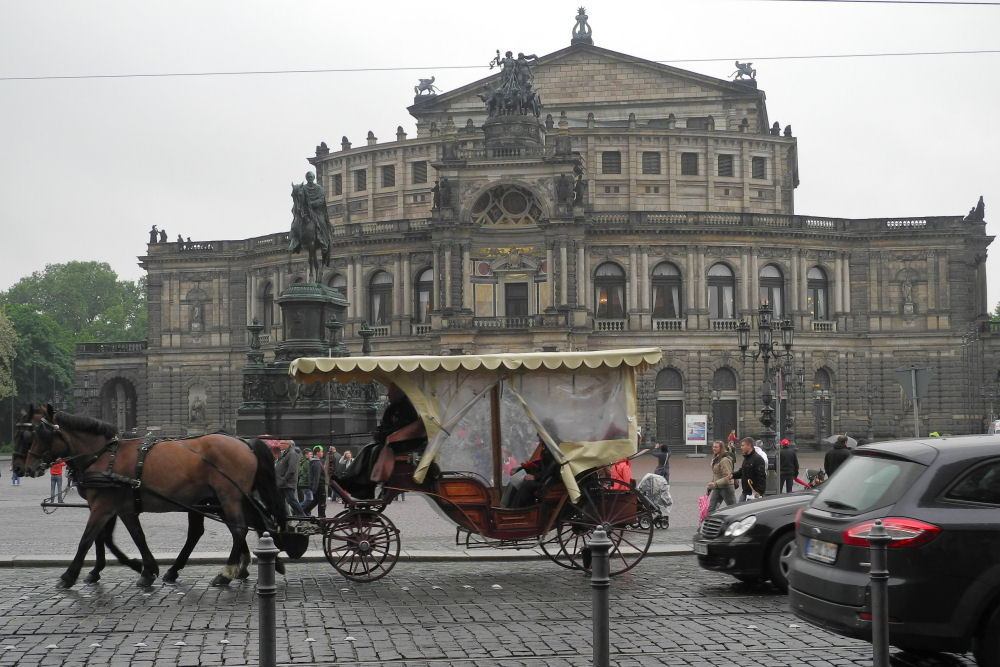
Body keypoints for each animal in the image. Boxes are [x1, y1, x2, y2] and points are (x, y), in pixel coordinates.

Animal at [15, 404, 290, 588]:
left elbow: (88, 539)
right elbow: (119, 538)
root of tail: (244, 442)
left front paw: (69, 575)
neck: (103, 455)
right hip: (226, 499)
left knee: (239, 529)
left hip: (228, 497)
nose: (23, 468)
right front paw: (141, 569)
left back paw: (227, 572)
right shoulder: (116, 507)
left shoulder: (104, 507)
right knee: (248, 525)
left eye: (36, 434)